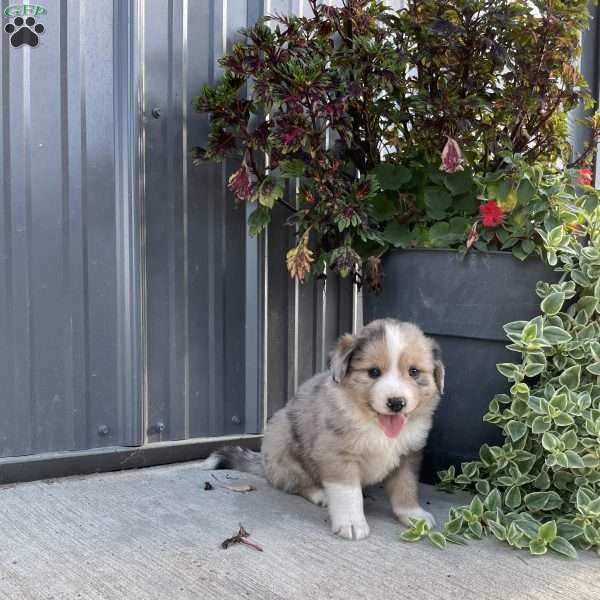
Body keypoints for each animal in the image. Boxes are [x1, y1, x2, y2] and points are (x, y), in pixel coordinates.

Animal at [199, 322, 442, 540]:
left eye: (413, 372)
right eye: (374, 372)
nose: (396, 403)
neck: (373, 423)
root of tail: (265, 466)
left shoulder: (409, 455)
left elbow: (406, 487)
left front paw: (414, 515)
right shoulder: (337, 454)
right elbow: (348, 493)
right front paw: (352, 523)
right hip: (284, 446)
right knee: (296, 483)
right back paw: (320, 494)